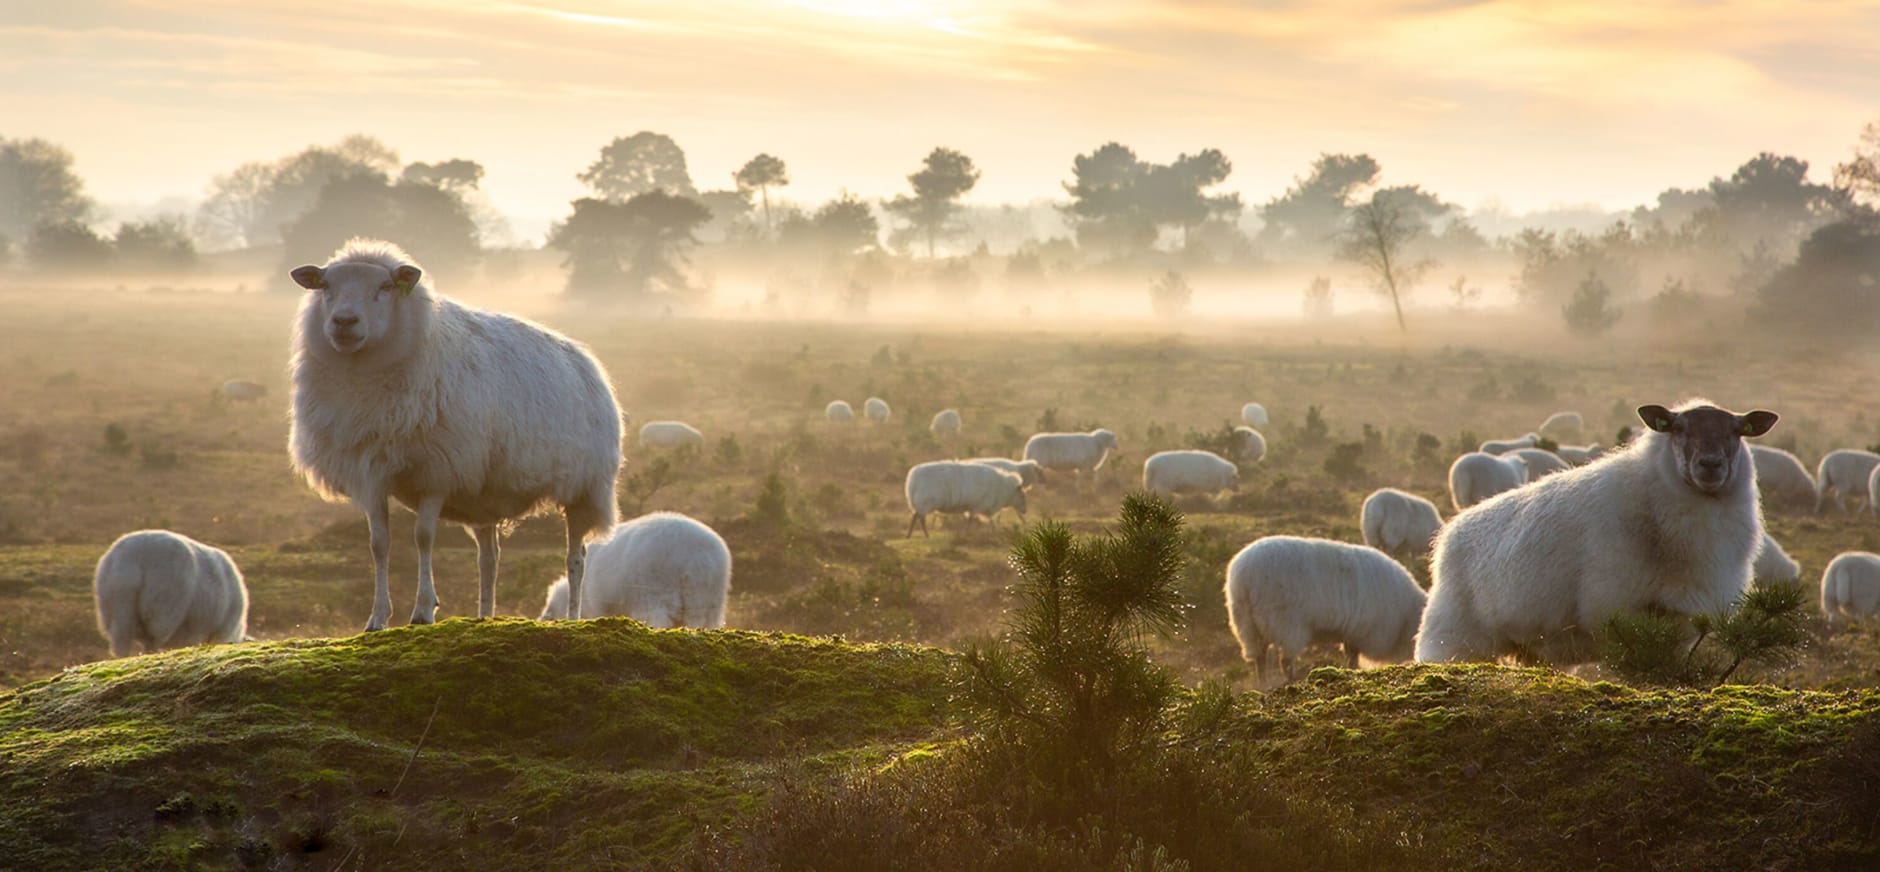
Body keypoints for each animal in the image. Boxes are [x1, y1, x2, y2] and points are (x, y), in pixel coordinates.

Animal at [94, 526, 250, 657]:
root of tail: (134, 555)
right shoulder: (213, 629)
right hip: (163, 606)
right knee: (154, 638)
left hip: (117, 604)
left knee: (121, 642)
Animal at [287, 240, 624, 635]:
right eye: (325, 286)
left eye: (385, 287)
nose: (344, 322)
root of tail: (585, 359)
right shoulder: (371, 473)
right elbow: (378, 544)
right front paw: (377, 618)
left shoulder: (437, 470)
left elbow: (423, 537)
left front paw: (423, 610)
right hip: (487, 495)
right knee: (489, 557)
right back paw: (485, 616)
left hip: (586, 486)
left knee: (576, 556)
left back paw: (572, 617)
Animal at [1218, 533, 1421, 684]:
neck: (1406, 613)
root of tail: (1244, 577)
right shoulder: (1364, 631)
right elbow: (1353, 657)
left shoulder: (1351, 633)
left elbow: (1351, 657)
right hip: (1285, 624)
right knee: (1285, 661)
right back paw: (1293, 681)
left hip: (1247, 624)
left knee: (1260, 659)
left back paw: (1263, 685)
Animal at [1413, 398, 1782, 665]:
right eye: (1678, 429)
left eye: (1737, 431)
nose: (1710, 465)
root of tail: (1449, 533)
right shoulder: (1613, 608)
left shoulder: (1682, 620)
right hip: (1453, 632)